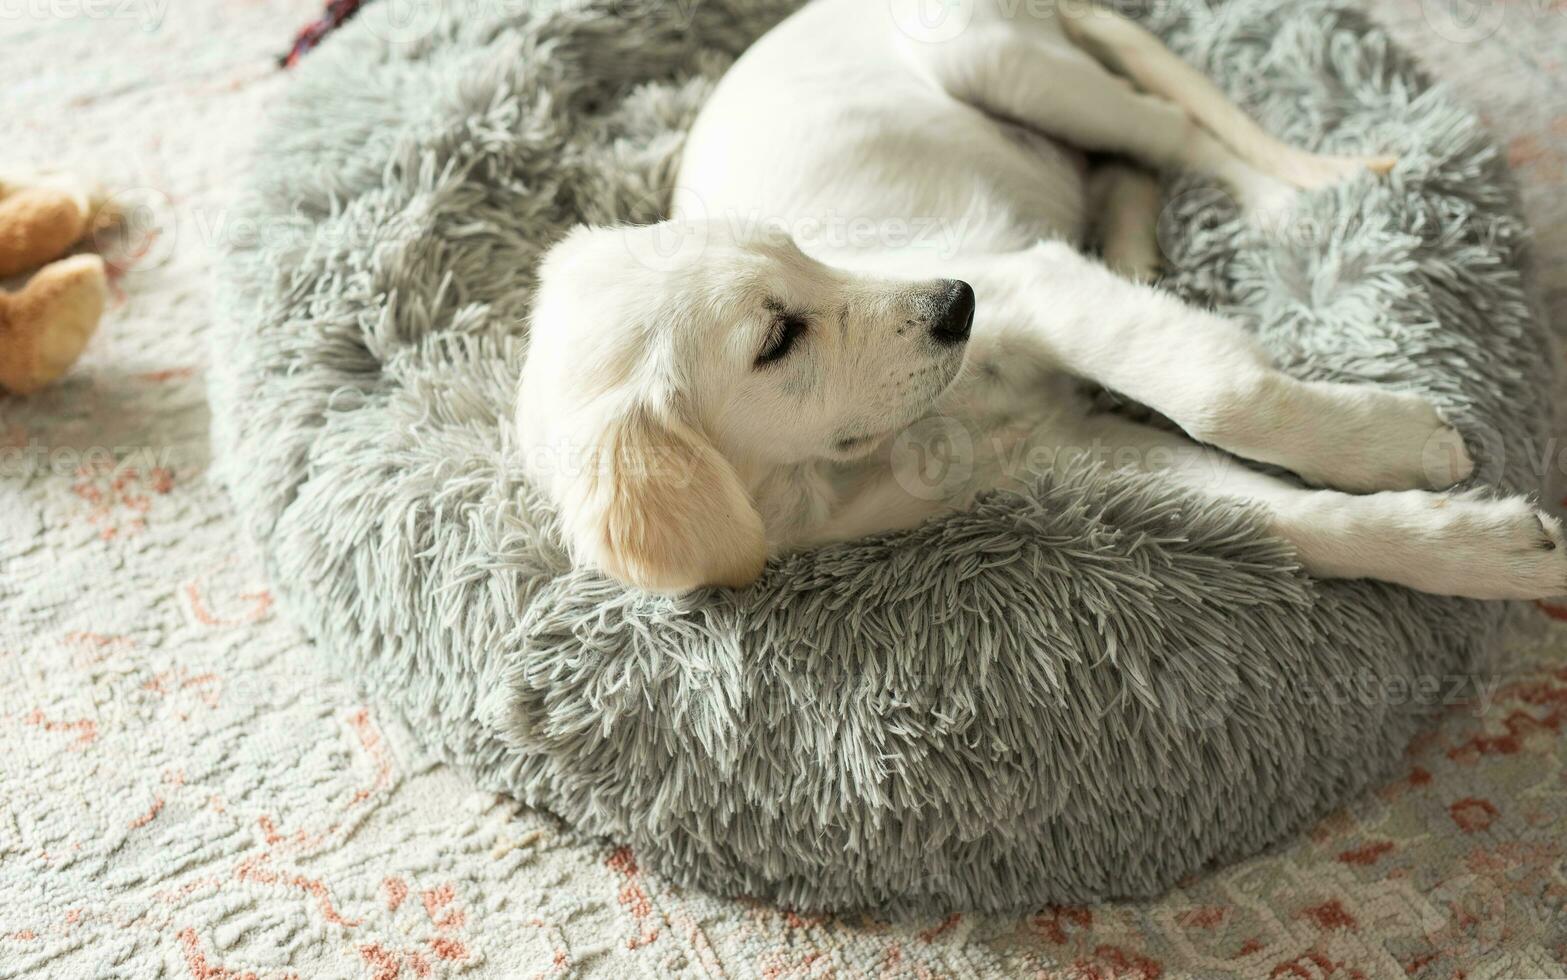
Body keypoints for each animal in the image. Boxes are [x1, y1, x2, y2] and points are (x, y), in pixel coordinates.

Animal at [517, 0, 1567, 595]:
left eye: (798, 247)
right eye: (777, 340)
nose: (956, 302)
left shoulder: (1036, 284)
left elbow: (1222, 396)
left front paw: (1402, 445)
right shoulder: (1062, 452)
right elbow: (1289, 523)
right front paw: (1482, 553)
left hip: (995, 59)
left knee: (1174, 128)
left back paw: (1287, 203)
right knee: (1127, 163)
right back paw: (1140, 248)